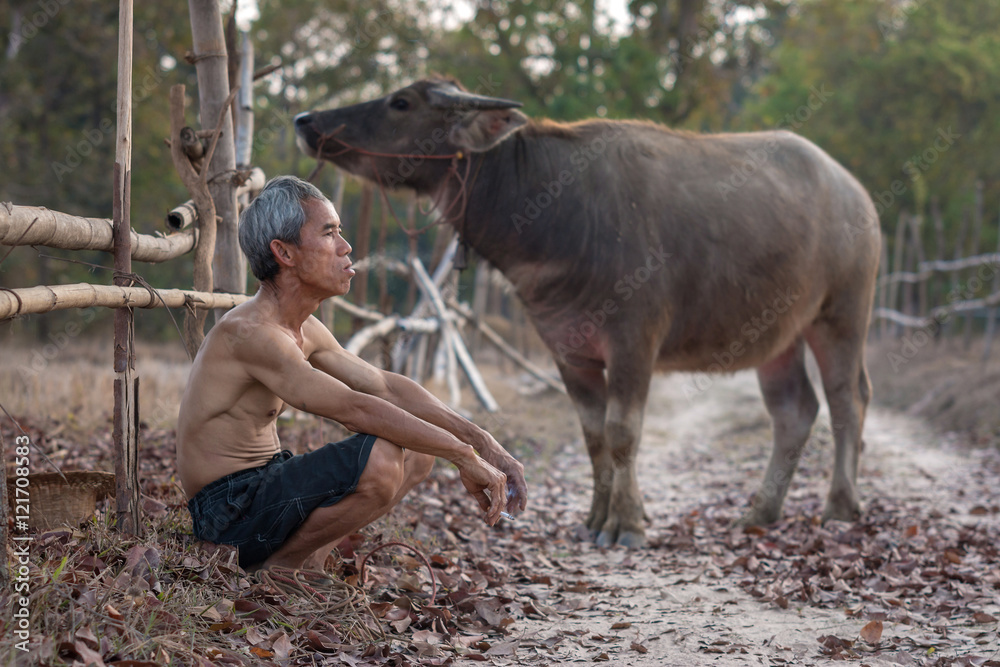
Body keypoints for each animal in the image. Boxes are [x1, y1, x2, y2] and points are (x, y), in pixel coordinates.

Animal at [292, 78, 880, 548]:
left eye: (401, 102)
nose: (306, 120)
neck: (561, 215)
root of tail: (857, 195)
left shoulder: (634, 343)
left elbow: (622, 432)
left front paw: (627, 525)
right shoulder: (568, 349)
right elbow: (595, 436)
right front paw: (597, 517)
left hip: (842, 315)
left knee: (847, 400)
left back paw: (840, 505)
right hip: (781, 333)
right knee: (794, 411)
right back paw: (761, 510)